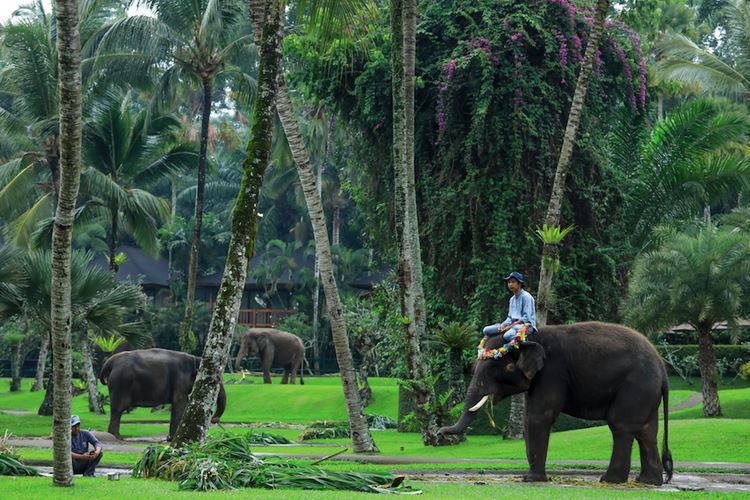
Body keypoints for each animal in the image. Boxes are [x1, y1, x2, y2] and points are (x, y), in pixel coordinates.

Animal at [439, 322, 673, 485]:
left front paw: (530, 479)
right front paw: (531, 476)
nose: (440, 433)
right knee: (646, 431)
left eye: (502, 367)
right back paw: (647, 482)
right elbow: (529, 418)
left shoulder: (552, 373)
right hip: (645, 393)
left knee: (621, 426)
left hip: (635, 386)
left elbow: (539, 416)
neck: (532, 336)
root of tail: (663, 369)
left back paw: (610, 480)